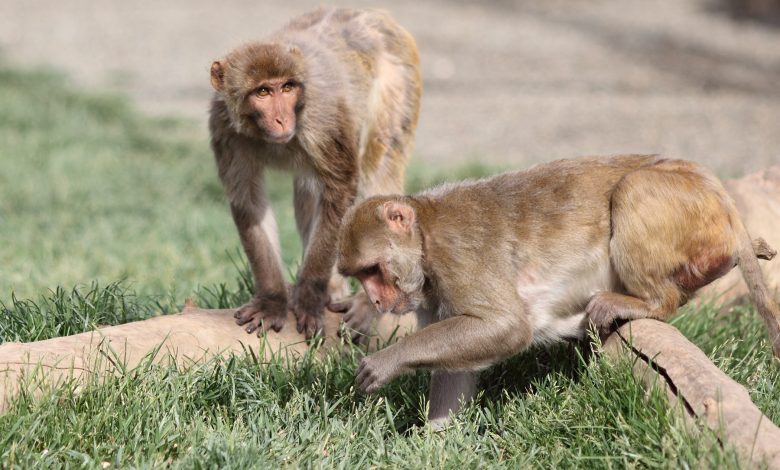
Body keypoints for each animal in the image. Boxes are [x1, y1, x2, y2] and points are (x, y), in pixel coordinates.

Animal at [208, 8, 421, 338]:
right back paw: (333, 287)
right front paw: (272, 300)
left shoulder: (323, 120)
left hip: (397, 86)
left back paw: (365, 300)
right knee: (308, 190)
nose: (282, 120)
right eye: (263, 92)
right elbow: (249, 203)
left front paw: (309, 298)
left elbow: (341, 188)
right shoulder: (224, 128)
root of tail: (376, 15)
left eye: (286, 87)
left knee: (376, 173)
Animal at [336, 154, 780, 428]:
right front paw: (435, 444)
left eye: (374, 270)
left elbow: (507, 326)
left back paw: (650, 302)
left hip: (682, 207)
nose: (375, 299)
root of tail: (718, 193)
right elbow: (457, 370)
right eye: (361, 275)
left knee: (633, 191)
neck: (425, 237)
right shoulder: (431, 296)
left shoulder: (456, 255)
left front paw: (387, 361)